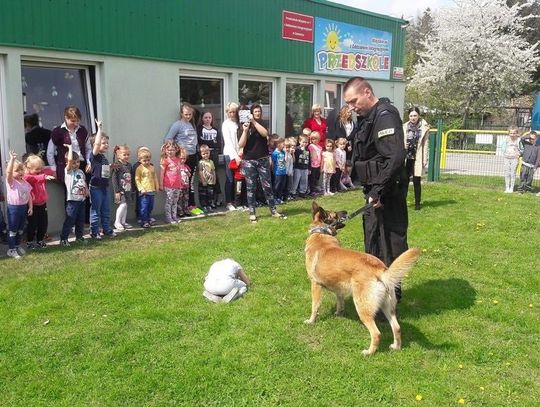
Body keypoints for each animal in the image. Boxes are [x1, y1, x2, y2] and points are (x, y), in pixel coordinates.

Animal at [306, 202, 420, 356]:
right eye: (335, 214)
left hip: (362, 307)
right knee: (397, 327)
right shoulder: (338, 287)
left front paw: (311, 321)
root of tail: (380, 270)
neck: (321, 232)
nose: (345, 212)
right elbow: (340, 301)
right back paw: (396, 347)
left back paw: (369, 352)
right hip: (387, 306)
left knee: (376, 333)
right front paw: (338, 313)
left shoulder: (315, 285)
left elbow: (315, 306)